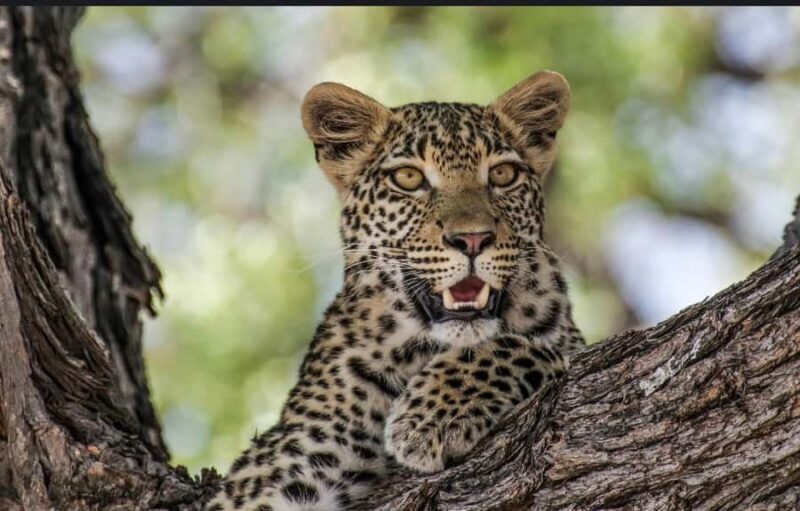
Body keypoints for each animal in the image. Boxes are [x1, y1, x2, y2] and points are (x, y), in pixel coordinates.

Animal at [206, 70, 585, 511]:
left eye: (503, 175)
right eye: (408, 179)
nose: (473, 239)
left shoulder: (568, 341)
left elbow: (531, 347)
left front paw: (432, 416)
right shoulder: (294, 453)